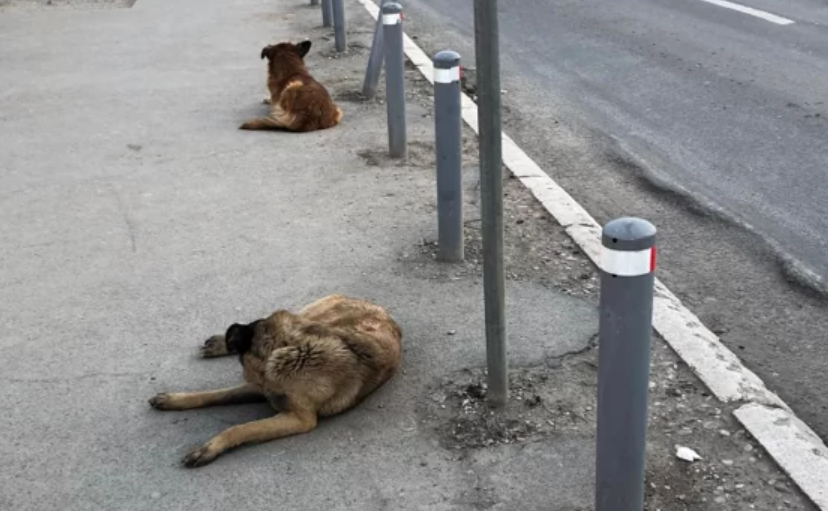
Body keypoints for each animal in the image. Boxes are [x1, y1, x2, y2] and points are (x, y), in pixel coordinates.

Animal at [153, 296, 408, 468]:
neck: (289, 347)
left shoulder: (297, 418)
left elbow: (241, 428)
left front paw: (210, 448)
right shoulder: (261, 388)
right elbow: (214, 394)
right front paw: (174, 400)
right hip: (308, 315)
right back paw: (218, 343)